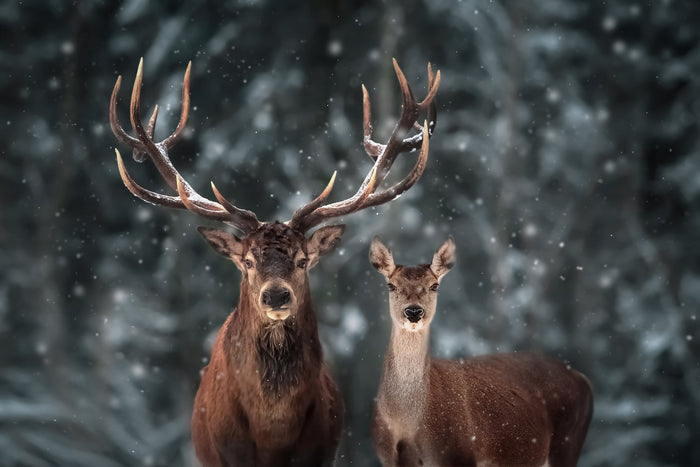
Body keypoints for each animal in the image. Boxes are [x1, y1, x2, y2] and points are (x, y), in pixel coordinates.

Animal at [369, 237, 593, 467]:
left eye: (434, 285)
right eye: (391, 285)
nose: (413, 311)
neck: (407, 423)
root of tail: (582, 378)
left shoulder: (459, 454)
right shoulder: (388, 458)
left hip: (568, 442)